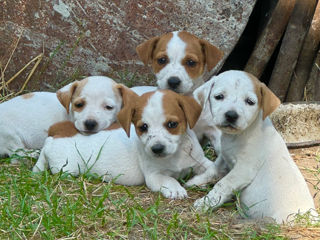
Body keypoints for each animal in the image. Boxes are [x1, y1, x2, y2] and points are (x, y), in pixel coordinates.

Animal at [186, 70, 318, 224]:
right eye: (219, 97)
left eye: (250, 102)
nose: (231, 115)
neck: (240, 135)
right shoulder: (224, 157)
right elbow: (212, 170)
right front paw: (195, 181)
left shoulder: (243, 170)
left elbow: (222, 185)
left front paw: (205, 203)